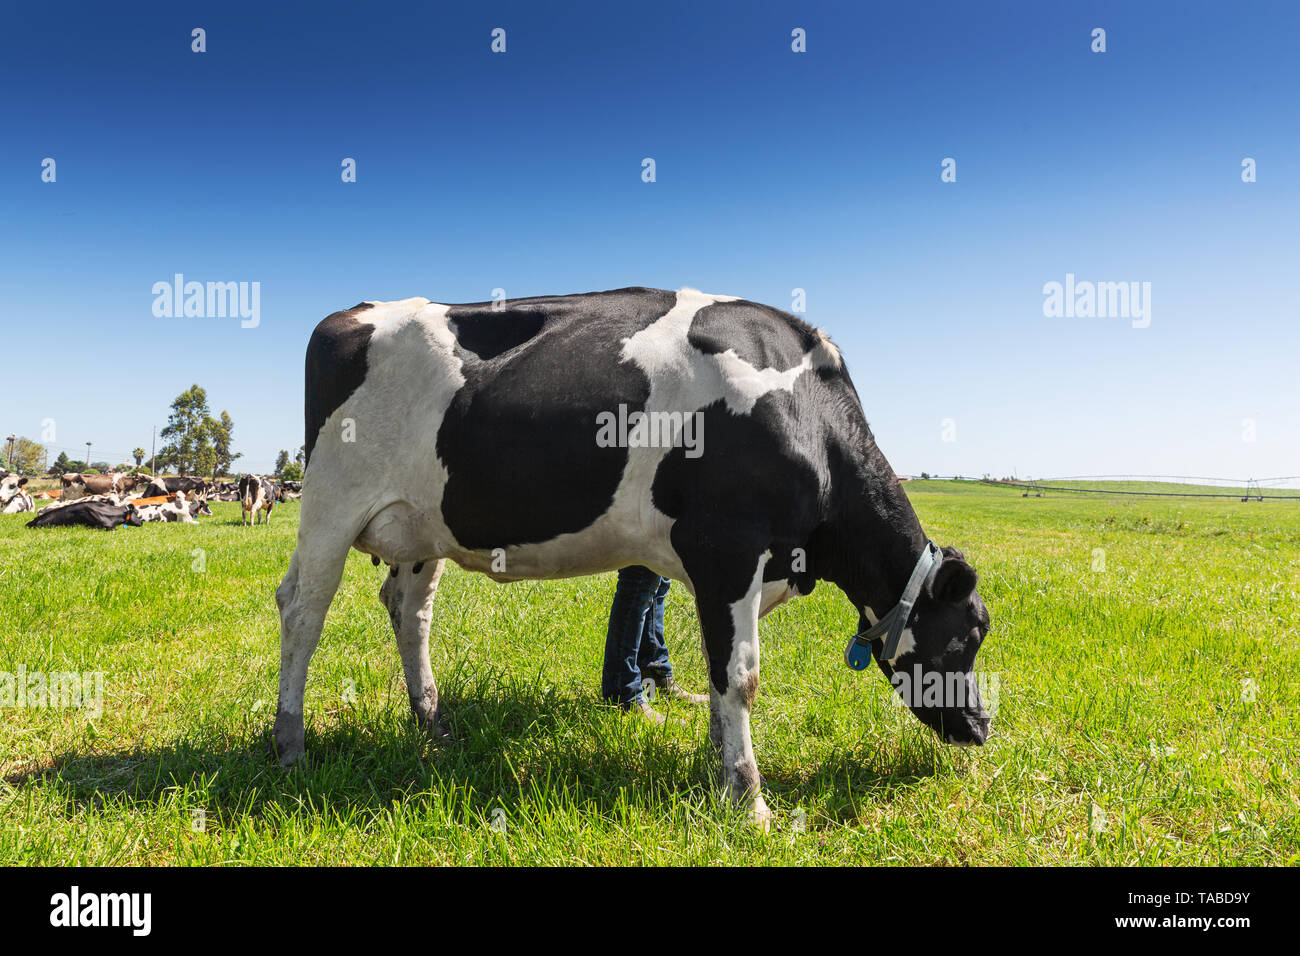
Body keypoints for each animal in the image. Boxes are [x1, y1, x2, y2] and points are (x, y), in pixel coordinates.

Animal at [273, 288, 993, 825]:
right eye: (969, 635)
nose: (983, 726)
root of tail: (350, 313)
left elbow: (719, 672)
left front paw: (718, 764)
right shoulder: (726, 547)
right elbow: (742, 676)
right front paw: (749, 799)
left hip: (423, 527)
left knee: (409, 610)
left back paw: (435, 727)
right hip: (331, 504)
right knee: (302, 610)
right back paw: (290, 744)